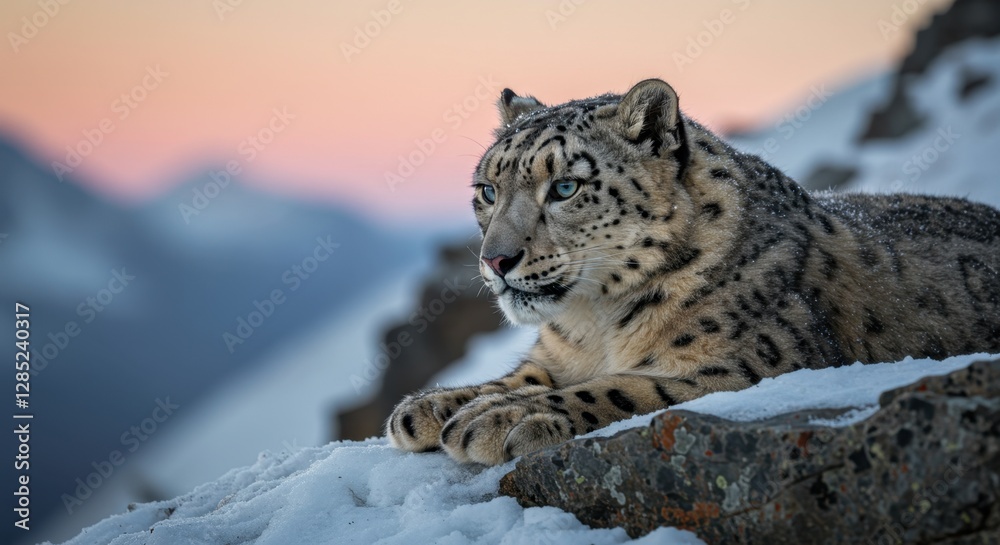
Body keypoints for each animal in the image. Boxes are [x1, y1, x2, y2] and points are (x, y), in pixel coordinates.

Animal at [386, 78, 1000, 465]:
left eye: (564, 187)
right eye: (487, 190)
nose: (495, 259)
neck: (594, 322)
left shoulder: (744, 366)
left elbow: (626, 386)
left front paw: (500, 419)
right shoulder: (554, 357)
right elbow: (522, 375)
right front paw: (430, 407)